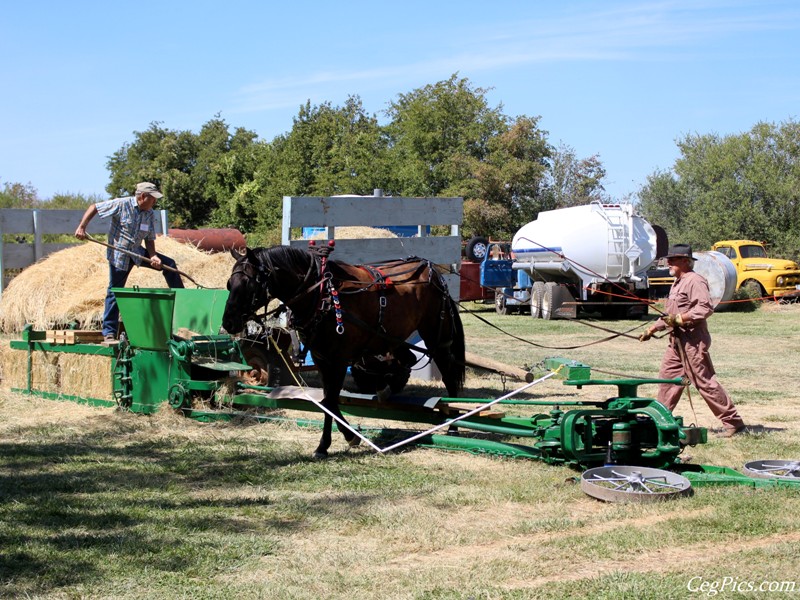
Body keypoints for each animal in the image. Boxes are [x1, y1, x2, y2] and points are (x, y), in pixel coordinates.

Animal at [222, 246, 466, 458]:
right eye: (229, 284)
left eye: (249, 284)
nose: (228, 322)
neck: (322, 295)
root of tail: (433, 271)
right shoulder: (322, 360)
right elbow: (328, 400)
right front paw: (342, 439)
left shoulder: (338, 360)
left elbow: (330, 400)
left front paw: (332, 442)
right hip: (392, 337)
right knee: (408, 358)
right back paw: (383, 388)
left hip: (437, 337)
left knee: (448, 374)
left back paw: (453, 425)